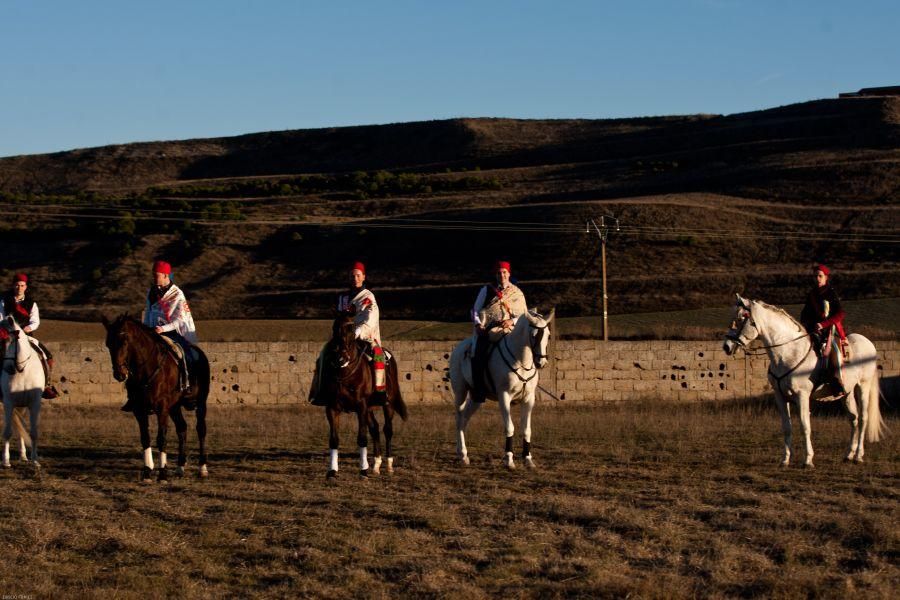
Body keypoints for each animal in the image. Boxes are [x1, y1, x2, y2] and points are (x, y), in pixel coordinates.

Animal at [0, 314, 45, 468]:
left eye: (12, 340)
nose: (7, 368)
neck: (22, 370)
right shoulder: (8, 403)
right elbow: (7, 432)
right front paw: (6, 461)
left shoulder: (34, 403)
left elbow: (34, 432)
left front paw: (35, 460)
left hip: (21, 406)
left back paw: (23, 455)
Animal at [101, 314, 210, 482]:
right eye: (108, 344)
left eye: (124, 341)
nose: (119, 374)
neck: (147, 369)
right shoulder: (139, 410)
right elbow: (145, 438)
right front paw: (147, 472)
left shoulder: (162, 408)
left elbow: (161, 438)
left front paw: (163, 474)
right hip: (175, 407)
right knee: (182, 428)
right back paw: (180, 467)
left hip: (200, 403)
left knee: (201, 429)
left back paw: (202, 468)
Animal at [318, 312, 410, 480]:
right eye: (334, 329)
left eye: (351, 329)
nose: (340, 359)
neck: (346, 374)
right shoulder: (332, 408)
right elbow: (334, 440)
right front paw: (332, 471)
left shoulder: (361, 407)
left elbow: (362, 438)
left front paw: (363, 471)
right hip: (370, 408)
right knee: (375, 428)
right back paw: (376, 465)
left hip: (388, 404)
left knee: (387, 430)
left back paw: (389, 465)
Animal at [448, 310, 552, 468]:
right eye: (534, 335)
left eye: (548, 334)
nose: (541, 362)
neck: (521, 362)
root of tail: (459, 348)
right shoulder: (504, 396)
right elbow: (509, 427)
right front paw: (509, 460)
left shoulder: (528, 399)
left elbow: (526, 429)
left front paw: (528, 459)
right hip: (460, 391)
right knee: (459, 418)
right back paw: (463, 454)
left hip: (476, 397)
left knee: (465, 419)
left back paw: (463, 454)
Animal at [720, 296, 884, 468]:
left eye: (741, 318)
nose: (726, 346)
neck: (788, 353)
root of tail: (868, 343)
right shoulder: (780, 396)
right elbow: (787, 427)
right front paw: (785, 459)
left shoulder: (802, 396)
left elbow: (805, 426)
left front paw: (808, 460)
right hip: (847, 392)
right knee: (853, 419)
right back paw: (848, 455)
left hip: (863, 386)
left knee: (863, 418)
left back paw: (858, 455)